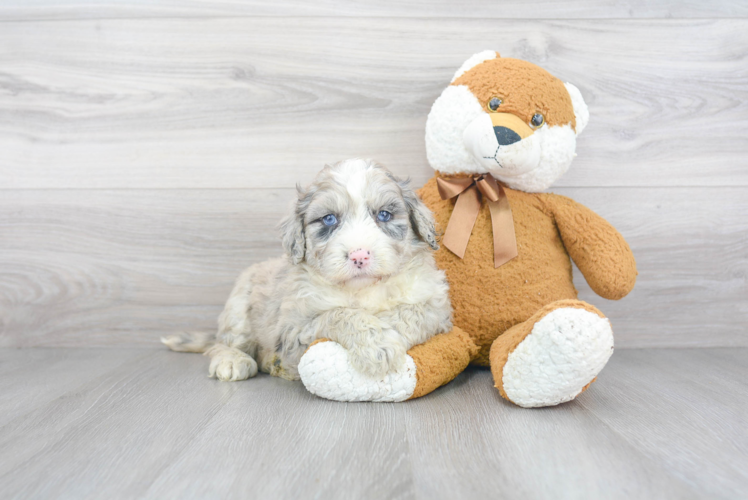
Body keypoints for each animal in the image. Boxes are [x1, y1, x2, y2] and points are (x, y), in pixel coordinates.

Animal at [164, 158, 452, 380]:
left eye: (384, 214)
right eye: (329, 219)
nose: (359, 255)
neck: (362, 290)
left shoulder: (437, 306)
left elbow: (412, 312)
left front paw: (386, 332)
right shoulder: (294, 328)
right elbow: (340, 314)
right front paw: (376, 343)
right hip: (238, 306)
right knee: (223, 343)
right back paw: (233, 360)